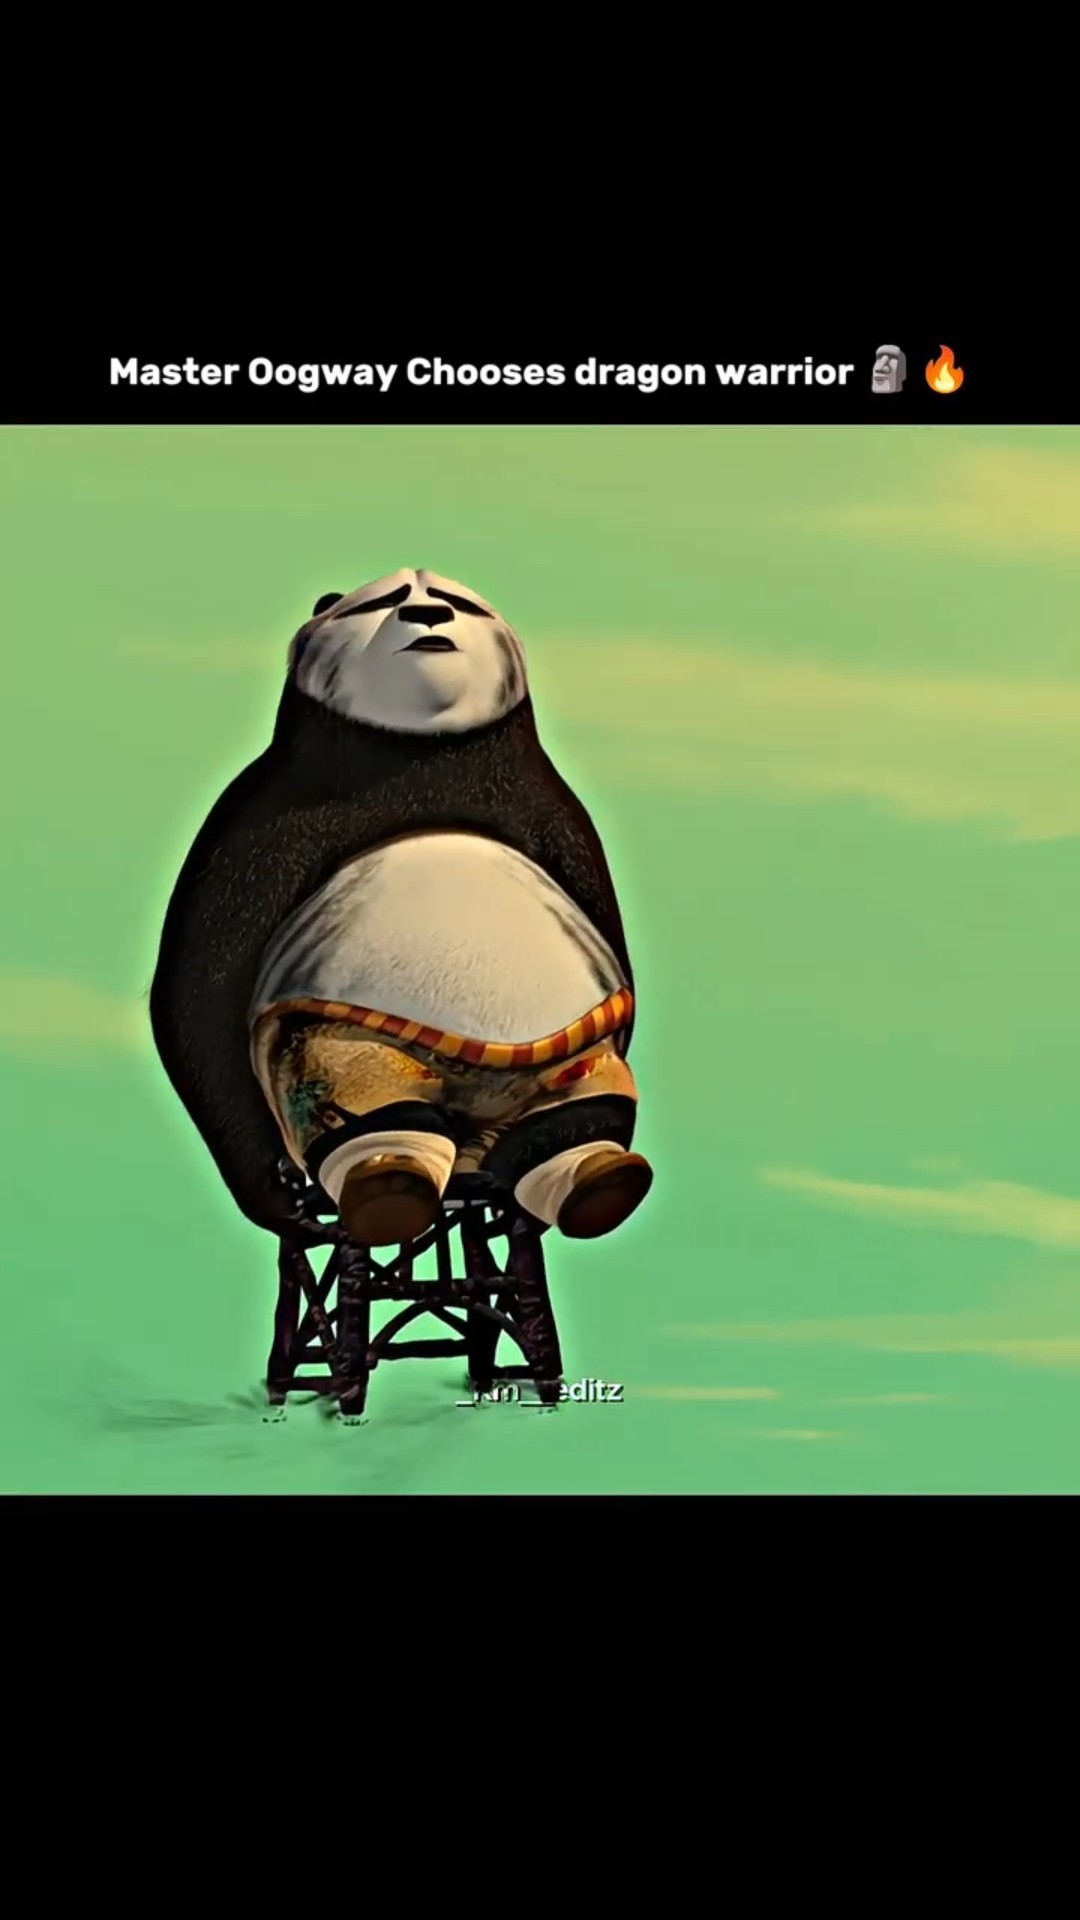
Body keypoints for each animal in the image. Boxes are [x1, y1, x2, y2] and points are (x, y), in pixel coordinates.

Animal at [150, 568, 652, 1249]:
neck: (420, 750)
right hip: (354, 1042)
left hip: (565, 1058)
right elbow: (203, 977)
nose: (430, 616)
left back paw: (600, 1182)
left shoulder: (555, 813)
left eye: (460, 603)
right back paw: (388, 1185)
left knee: (582, 1109)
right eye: (387, 601)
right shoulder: (262, 813)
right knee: (369, 1104)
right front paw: (276, 1192)